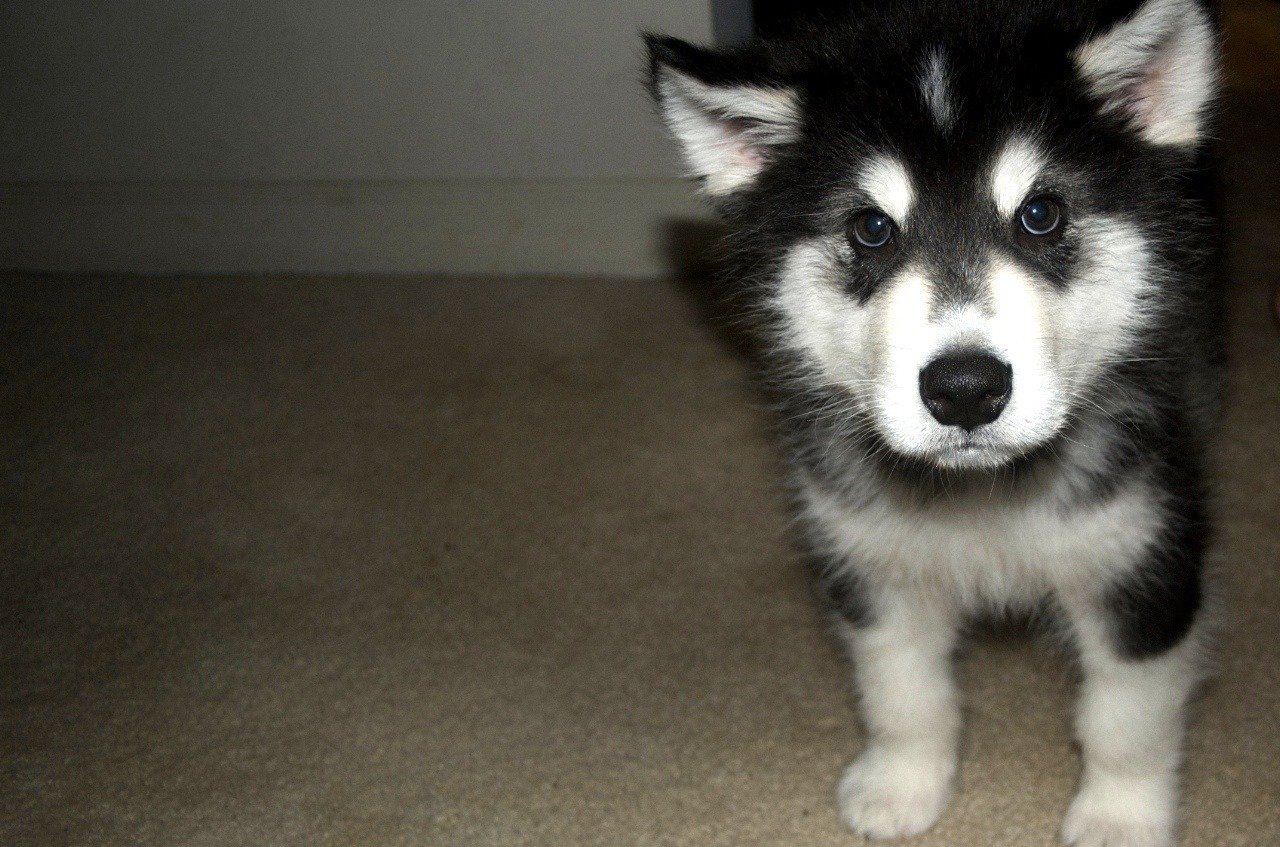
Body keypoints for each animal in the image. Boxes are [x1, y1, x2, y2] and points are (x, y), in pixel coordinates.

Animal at [645, 3, 1223, 844]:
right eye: (871, 228)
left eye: (1041, 214)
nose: (965, 390)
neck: (984, 498)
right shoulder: (869, 556)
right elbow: (902, 691)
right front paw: (903, 782)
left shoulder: (1144, 556)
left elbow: (1125, 716)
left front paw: (1119, 814)